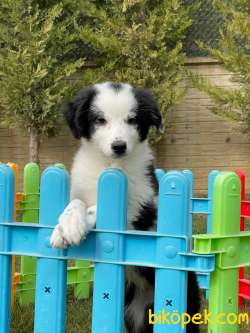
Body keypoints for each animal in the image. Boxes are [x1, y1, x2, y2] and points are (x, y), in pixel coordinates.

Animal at [49, 81, 200, 332]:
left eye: (132, 120)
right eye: (100, 120)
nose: (119, 146)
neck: (110, 165)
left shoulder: (140, 207)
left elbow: (98, 208)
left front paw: (72, 228)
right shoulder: (80, 189)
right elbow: (76, 202)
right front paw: (66, 226)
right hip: (133, 314)